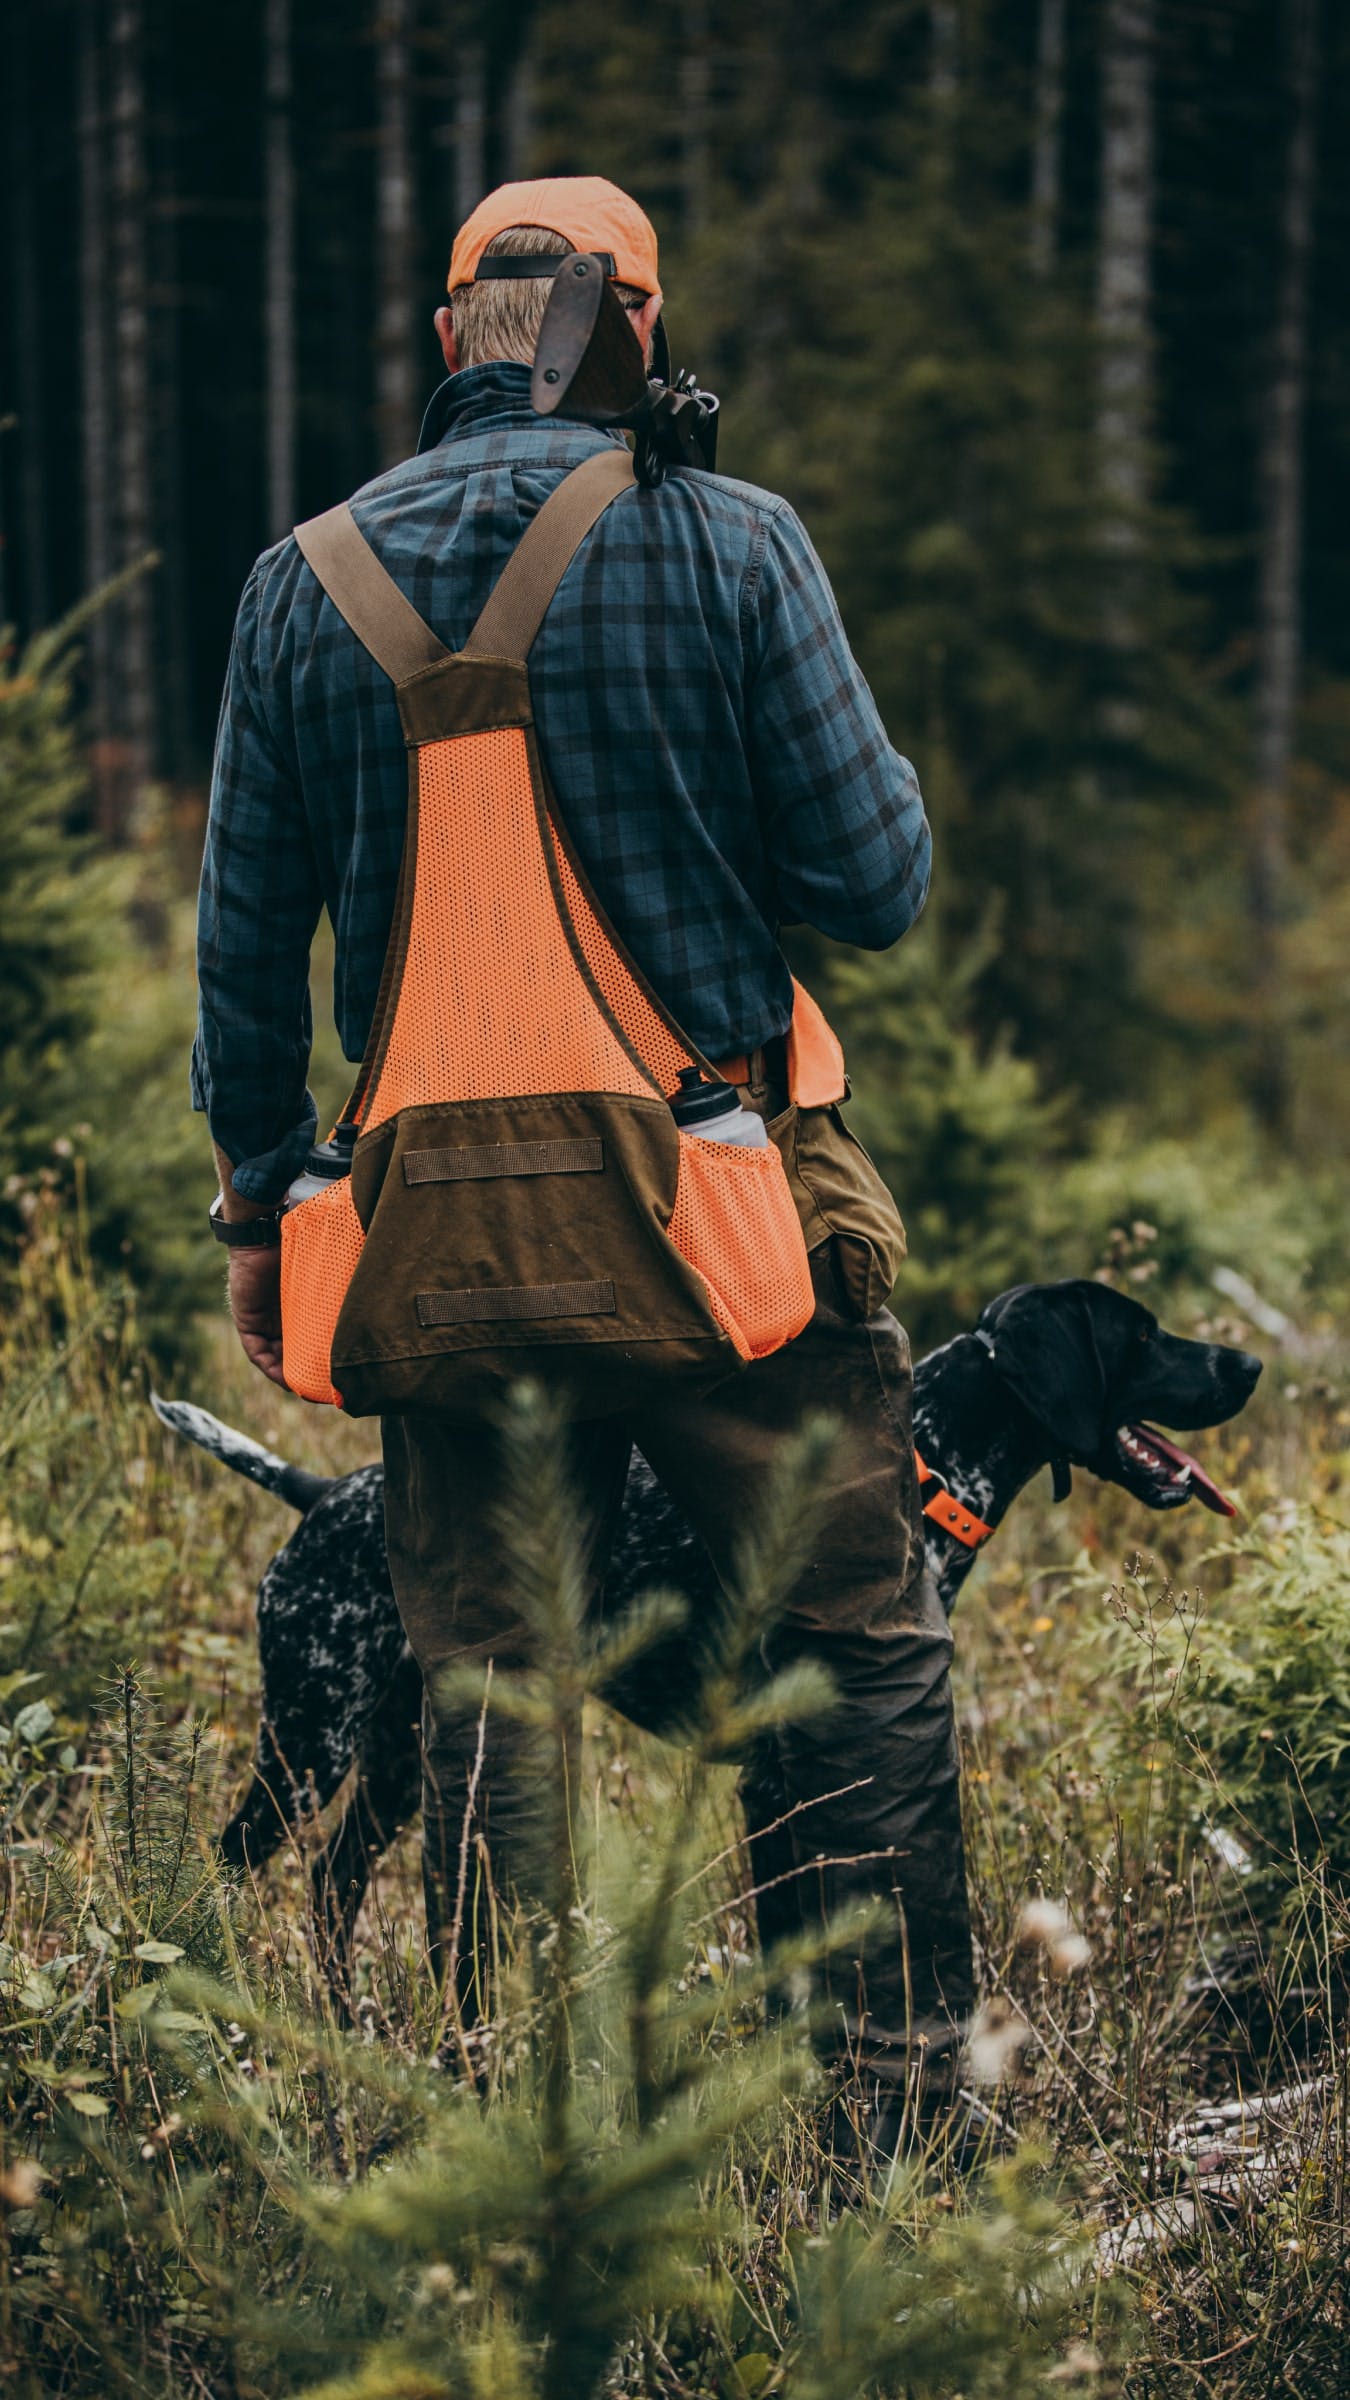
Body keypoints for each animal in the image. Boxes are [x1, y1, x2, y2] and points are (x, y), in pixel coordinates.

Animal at [154, 1286, 1249, 1939]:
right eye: (1142, 1335)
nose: (1249, 1365)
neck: (929, 1460)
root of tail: (319, 1494)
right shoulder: (779, 1778)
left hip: (400, 1756)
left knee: (331, 1886)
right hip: (309, 1738)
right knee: (226, 1869)